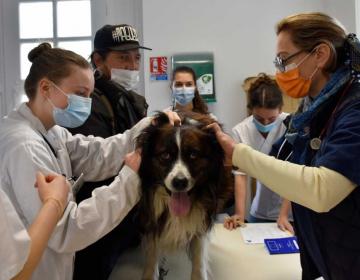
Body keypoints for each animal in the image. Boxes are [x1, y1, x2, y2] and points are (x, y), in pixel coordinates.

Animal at [136, 112, 229, 280]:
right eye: (165, 155)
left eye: (193, 155)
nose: (179, 182)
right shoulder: (151, 218)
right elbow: (152, 257)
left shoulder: (201, 220)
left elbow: (199, 260)